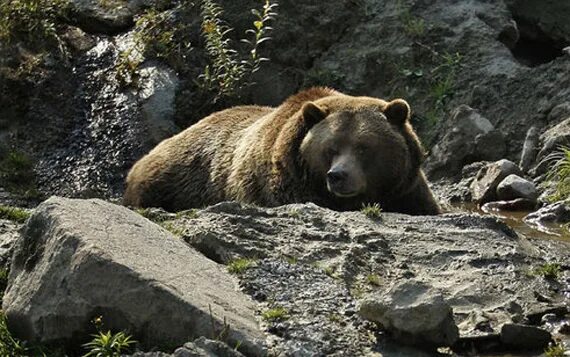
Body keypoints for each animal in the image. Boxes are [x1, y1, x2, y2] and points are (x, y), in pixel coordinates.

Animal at [122, 86, 438, 214]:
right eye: (330, 148)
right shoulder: (282, 187)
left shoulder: (406, 190)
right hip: (172, 178)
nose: (338, 176)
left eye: (363, 147)